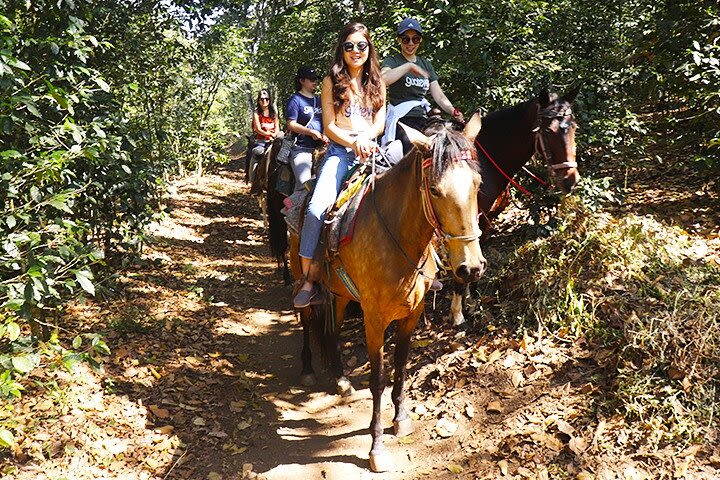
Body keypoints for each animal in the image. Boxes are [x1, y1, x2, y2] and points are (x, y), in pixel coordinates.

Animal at [286, 123, 484, 472]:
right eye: (435, 191)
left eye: (478, 184)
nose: (470, 267)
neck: (397, 235)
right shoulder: (375, 318)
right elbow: (378, 379)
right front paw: (376, 446)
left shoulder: (412, 314)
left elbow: (401, 367)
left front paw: (401, 418)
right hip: (303, 278)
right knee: (308, 321)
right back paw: (309, 367)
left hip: (339, 293)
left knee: (332, 330)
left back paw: (340, 378)